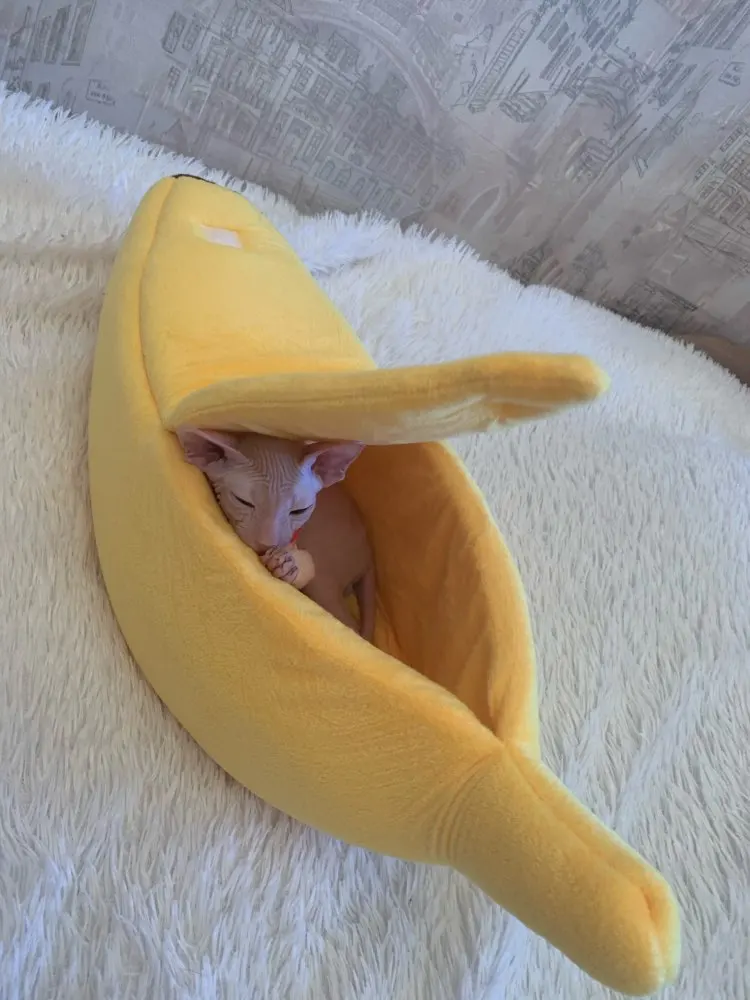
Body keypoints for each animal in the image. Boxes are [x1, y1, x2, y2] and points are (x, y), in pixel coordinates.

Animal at [177, 428, 376, 642]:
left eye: (299, 510)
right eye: (243, 501)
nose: (267, 545)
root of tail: (368, 552)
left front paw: (286, 565)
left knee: (350, 627)